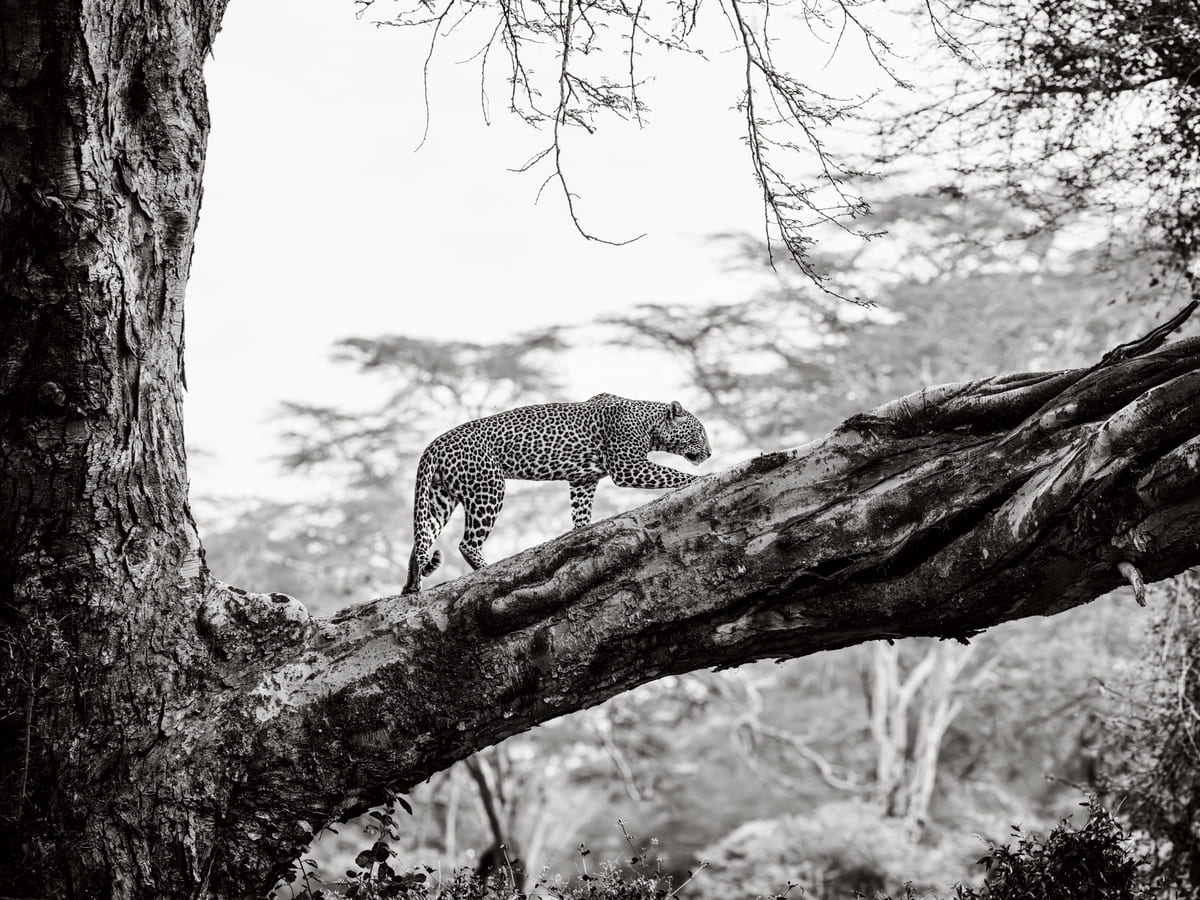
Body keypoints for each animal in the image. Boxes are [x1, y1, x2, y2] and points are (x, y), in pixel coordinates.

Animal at [403, 393, 705, 592]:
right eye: (700, 433)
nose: (710, 453)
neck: (649, 423)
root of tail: (434, 445)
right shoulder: (627, 466)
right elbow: (672, 474)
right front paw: (703, 477)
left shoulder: (583, 480)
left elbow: (581, 515)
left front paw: (581, 532)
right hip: (488, 488)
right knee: (466, 543)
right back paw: (486, 569)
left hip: (439, 498)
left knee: (421, 541)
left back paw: (412, 586)